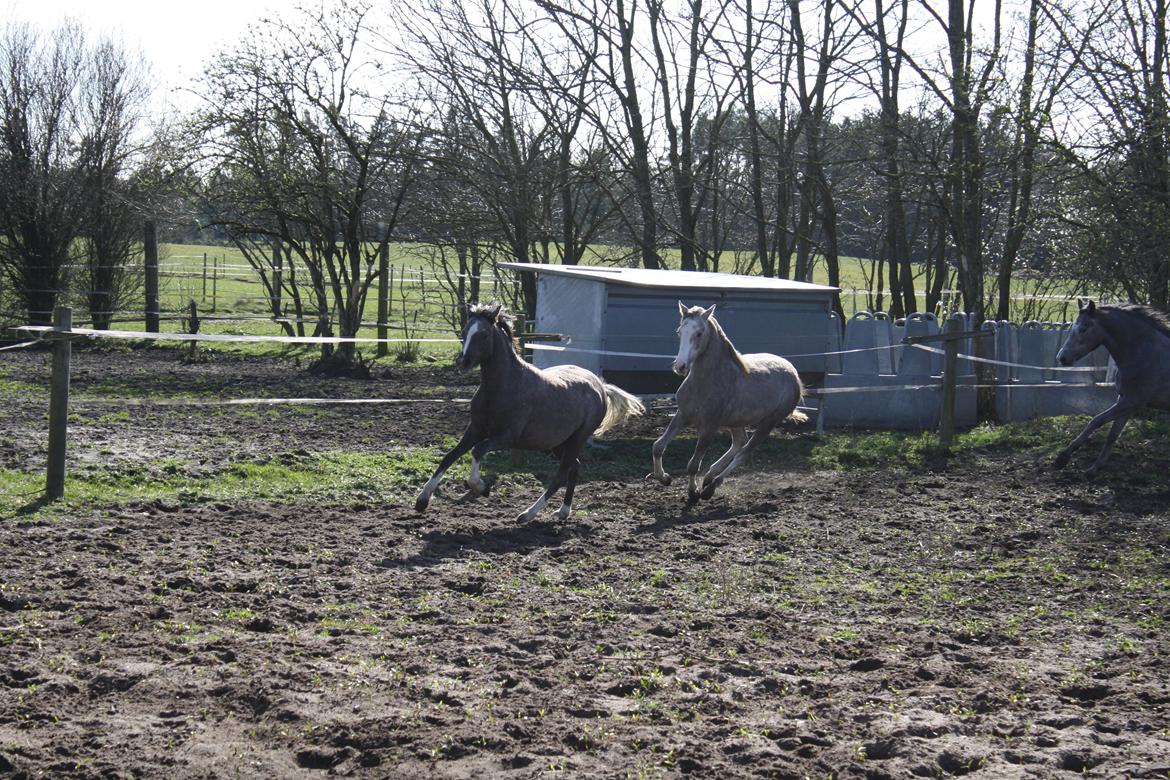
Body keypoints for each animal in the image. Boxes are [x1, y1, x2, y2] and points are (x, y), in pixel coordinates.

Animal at [650, 301, 804, 502]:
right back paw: (709, 476)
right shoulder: (682, 415)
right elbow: (658, 446)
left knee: (744, 452)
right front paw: (665, 479)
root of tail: (793, 374)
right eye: (679, 331)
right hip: (736, 422)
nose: (680, 366)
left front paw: (693, 493)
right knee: (739, 442)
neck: (705, 382)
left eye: (699, 333)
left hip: (768, 423)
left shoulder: (709, 427)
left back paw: (710, 487)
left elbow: (693, 465)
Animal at [1053, 301, 1170, 477]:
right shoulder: (1125, 401)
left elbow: (1095, 421)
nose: (1062, 358)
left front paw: (1062, 458)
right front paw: (1094, 469)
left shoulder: (1132, 402)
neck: (1146, 353)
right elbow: (1113, 434)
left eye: (1084, 328)